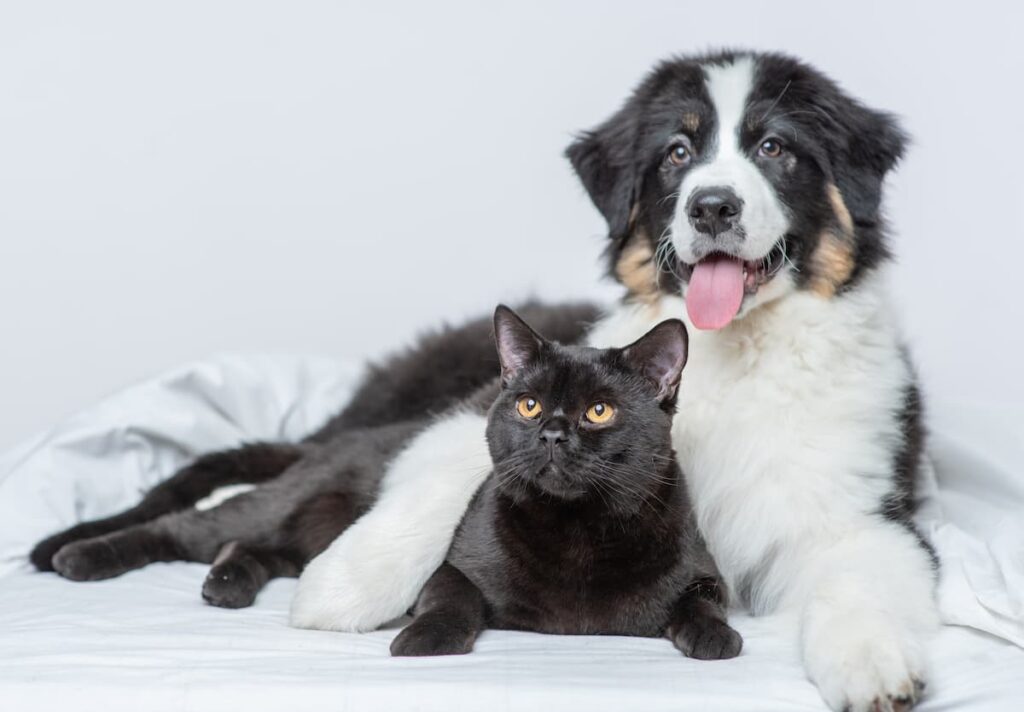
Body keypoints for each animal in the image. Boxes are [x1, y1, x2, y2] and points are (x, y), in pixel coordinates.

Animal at [387, 303, 741, 659]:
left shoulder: (706, 572)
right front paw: (426, 636)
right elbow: (449, 595)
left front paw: (714, 635)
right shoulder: (454, 565)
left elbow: (700, 599)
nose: (552, 435)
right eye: (529, 406)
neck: (577, 529)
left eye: (599, 410)